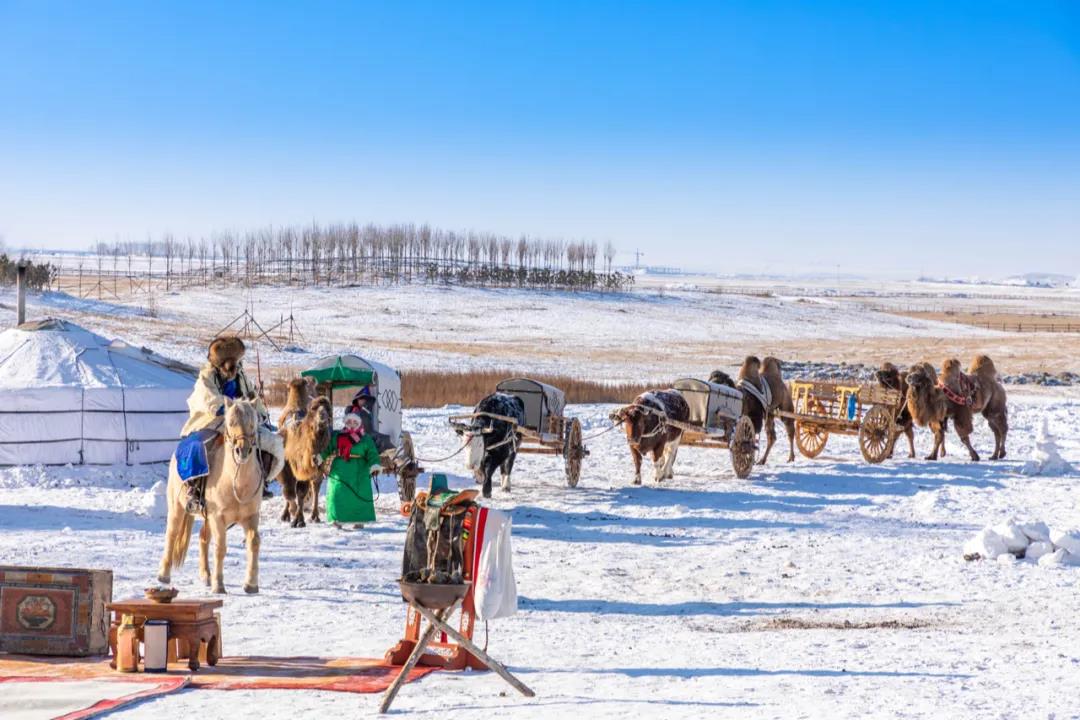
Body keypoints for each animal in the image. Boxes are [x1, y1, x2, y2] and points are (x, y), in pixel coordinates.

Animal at [157, 397, 264, 595]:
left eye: (252, 423)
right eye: (231, 423)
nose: (242, 450)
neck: (235, 482)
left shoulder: (251, 516)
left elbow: (254, 542)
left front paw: (251, 584)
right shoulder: (217, 517)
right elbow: (220, 548)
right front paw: (218, 585)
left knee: (203, 538)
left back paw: (206, 575)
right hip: (177, 508)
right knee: (172, 535)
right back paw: (164, 575)